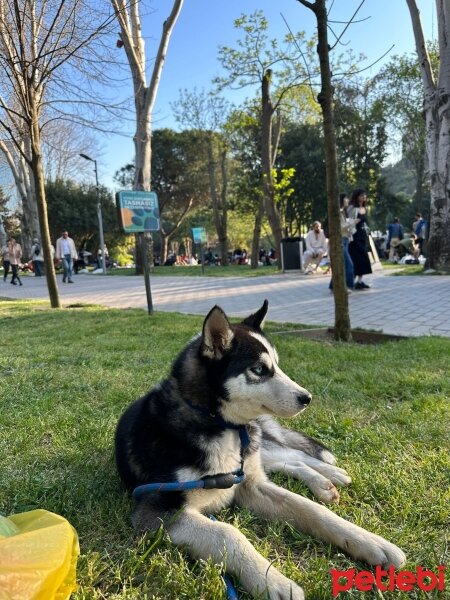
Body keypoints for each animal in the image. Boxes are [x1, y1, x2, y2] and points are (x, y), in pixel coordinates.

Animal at [115, 302, 404, 600]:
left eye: (276, 365)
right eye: (259, 369)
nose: (307, 398)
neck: (218, 423)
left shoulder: (250, 485)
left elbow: (311, 510)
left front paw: (370, 542)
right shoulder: (159, 510)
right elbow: (228, 533)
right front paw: (273, 582)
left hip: (257, 450)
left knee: (294, 456)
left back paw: (331, 475)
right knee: (291, 462)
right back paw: (324, 482)